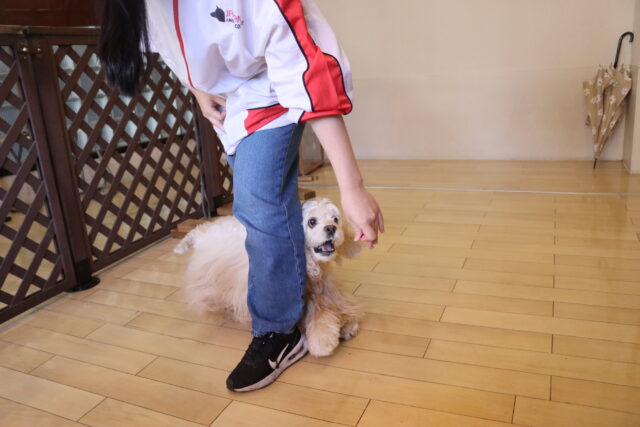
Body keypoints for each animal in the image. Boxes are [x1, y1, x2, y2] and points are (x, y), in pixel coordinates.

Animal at [173, 198, 363, 357]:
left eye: (335, 219)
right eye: (312, 221)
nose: (331, 228)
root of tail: (201, 231)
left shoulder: (324, 291)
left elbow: (333, 308)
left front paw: (347, 325)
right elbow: (317, 317)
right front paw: (323, 341)